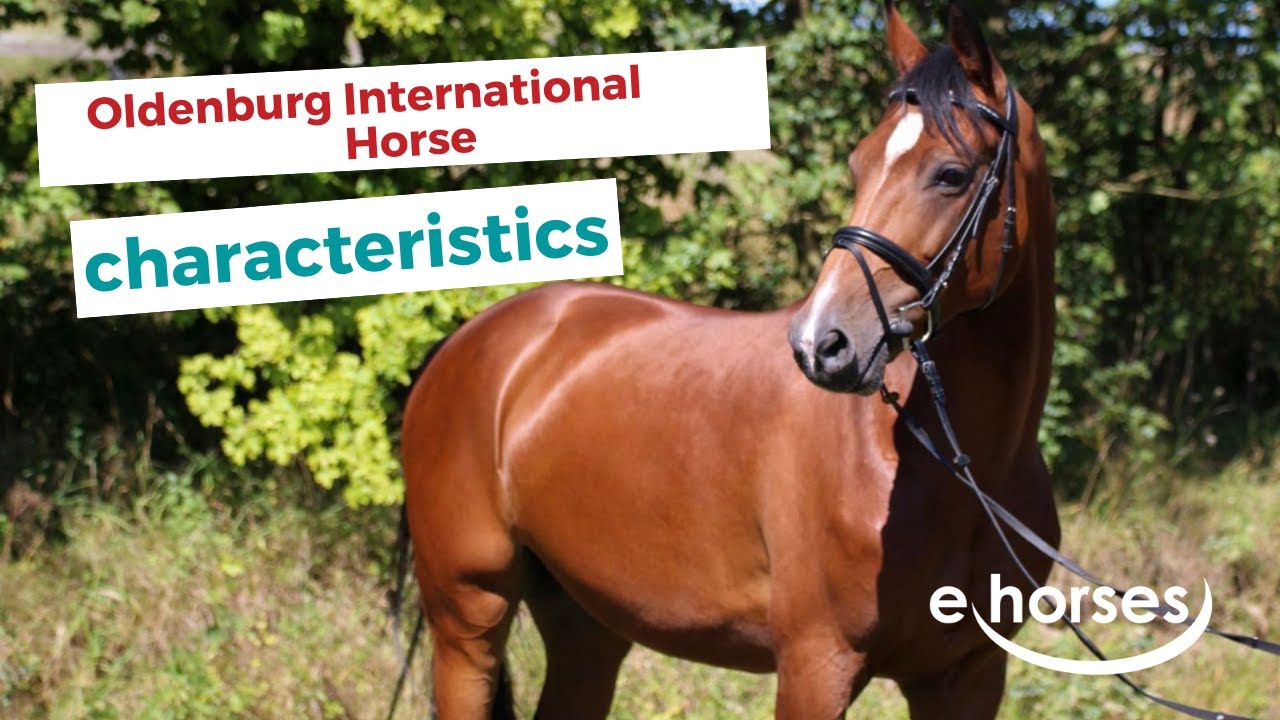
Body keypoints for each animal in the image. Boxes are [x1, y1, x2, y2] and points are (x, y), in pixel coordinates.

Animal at [399, 2, 1060, 717]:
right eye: (857, 167)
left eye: (952, 174)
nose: (822, 343)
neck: (956, 473)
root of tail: (469, 342)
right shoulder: (815, 665)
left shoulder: (969, 676)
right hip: (469, 620)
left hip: (586, 626)